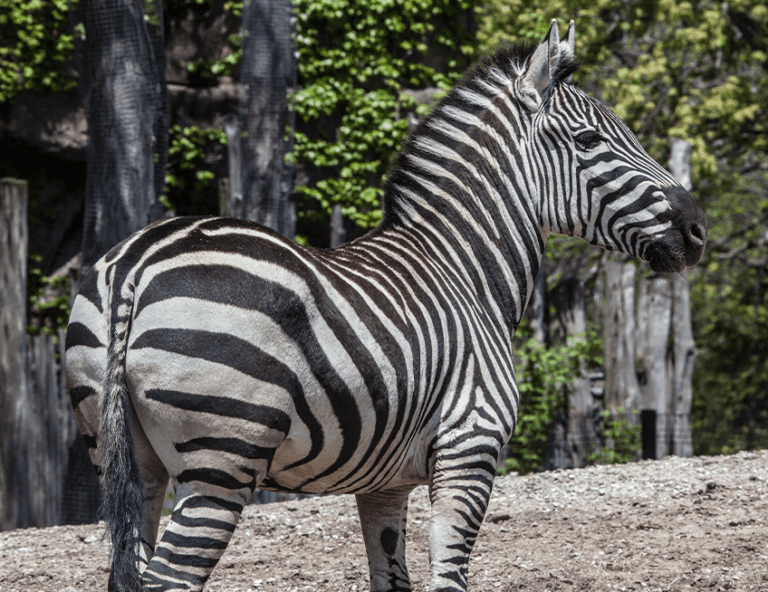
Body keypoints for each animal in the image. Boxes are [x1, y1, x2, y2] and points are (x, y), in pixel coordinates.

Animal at [66, 20, 708, 592]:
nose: (698, 230)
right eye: (589, 142)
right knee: (170, 578)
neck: (464, 270)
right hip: (220, 464)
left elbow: (392, 577)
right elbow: (449, 579)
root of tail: (137, 262)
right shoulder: (469, 450)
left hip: (127, 458)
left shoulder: (384, 482)